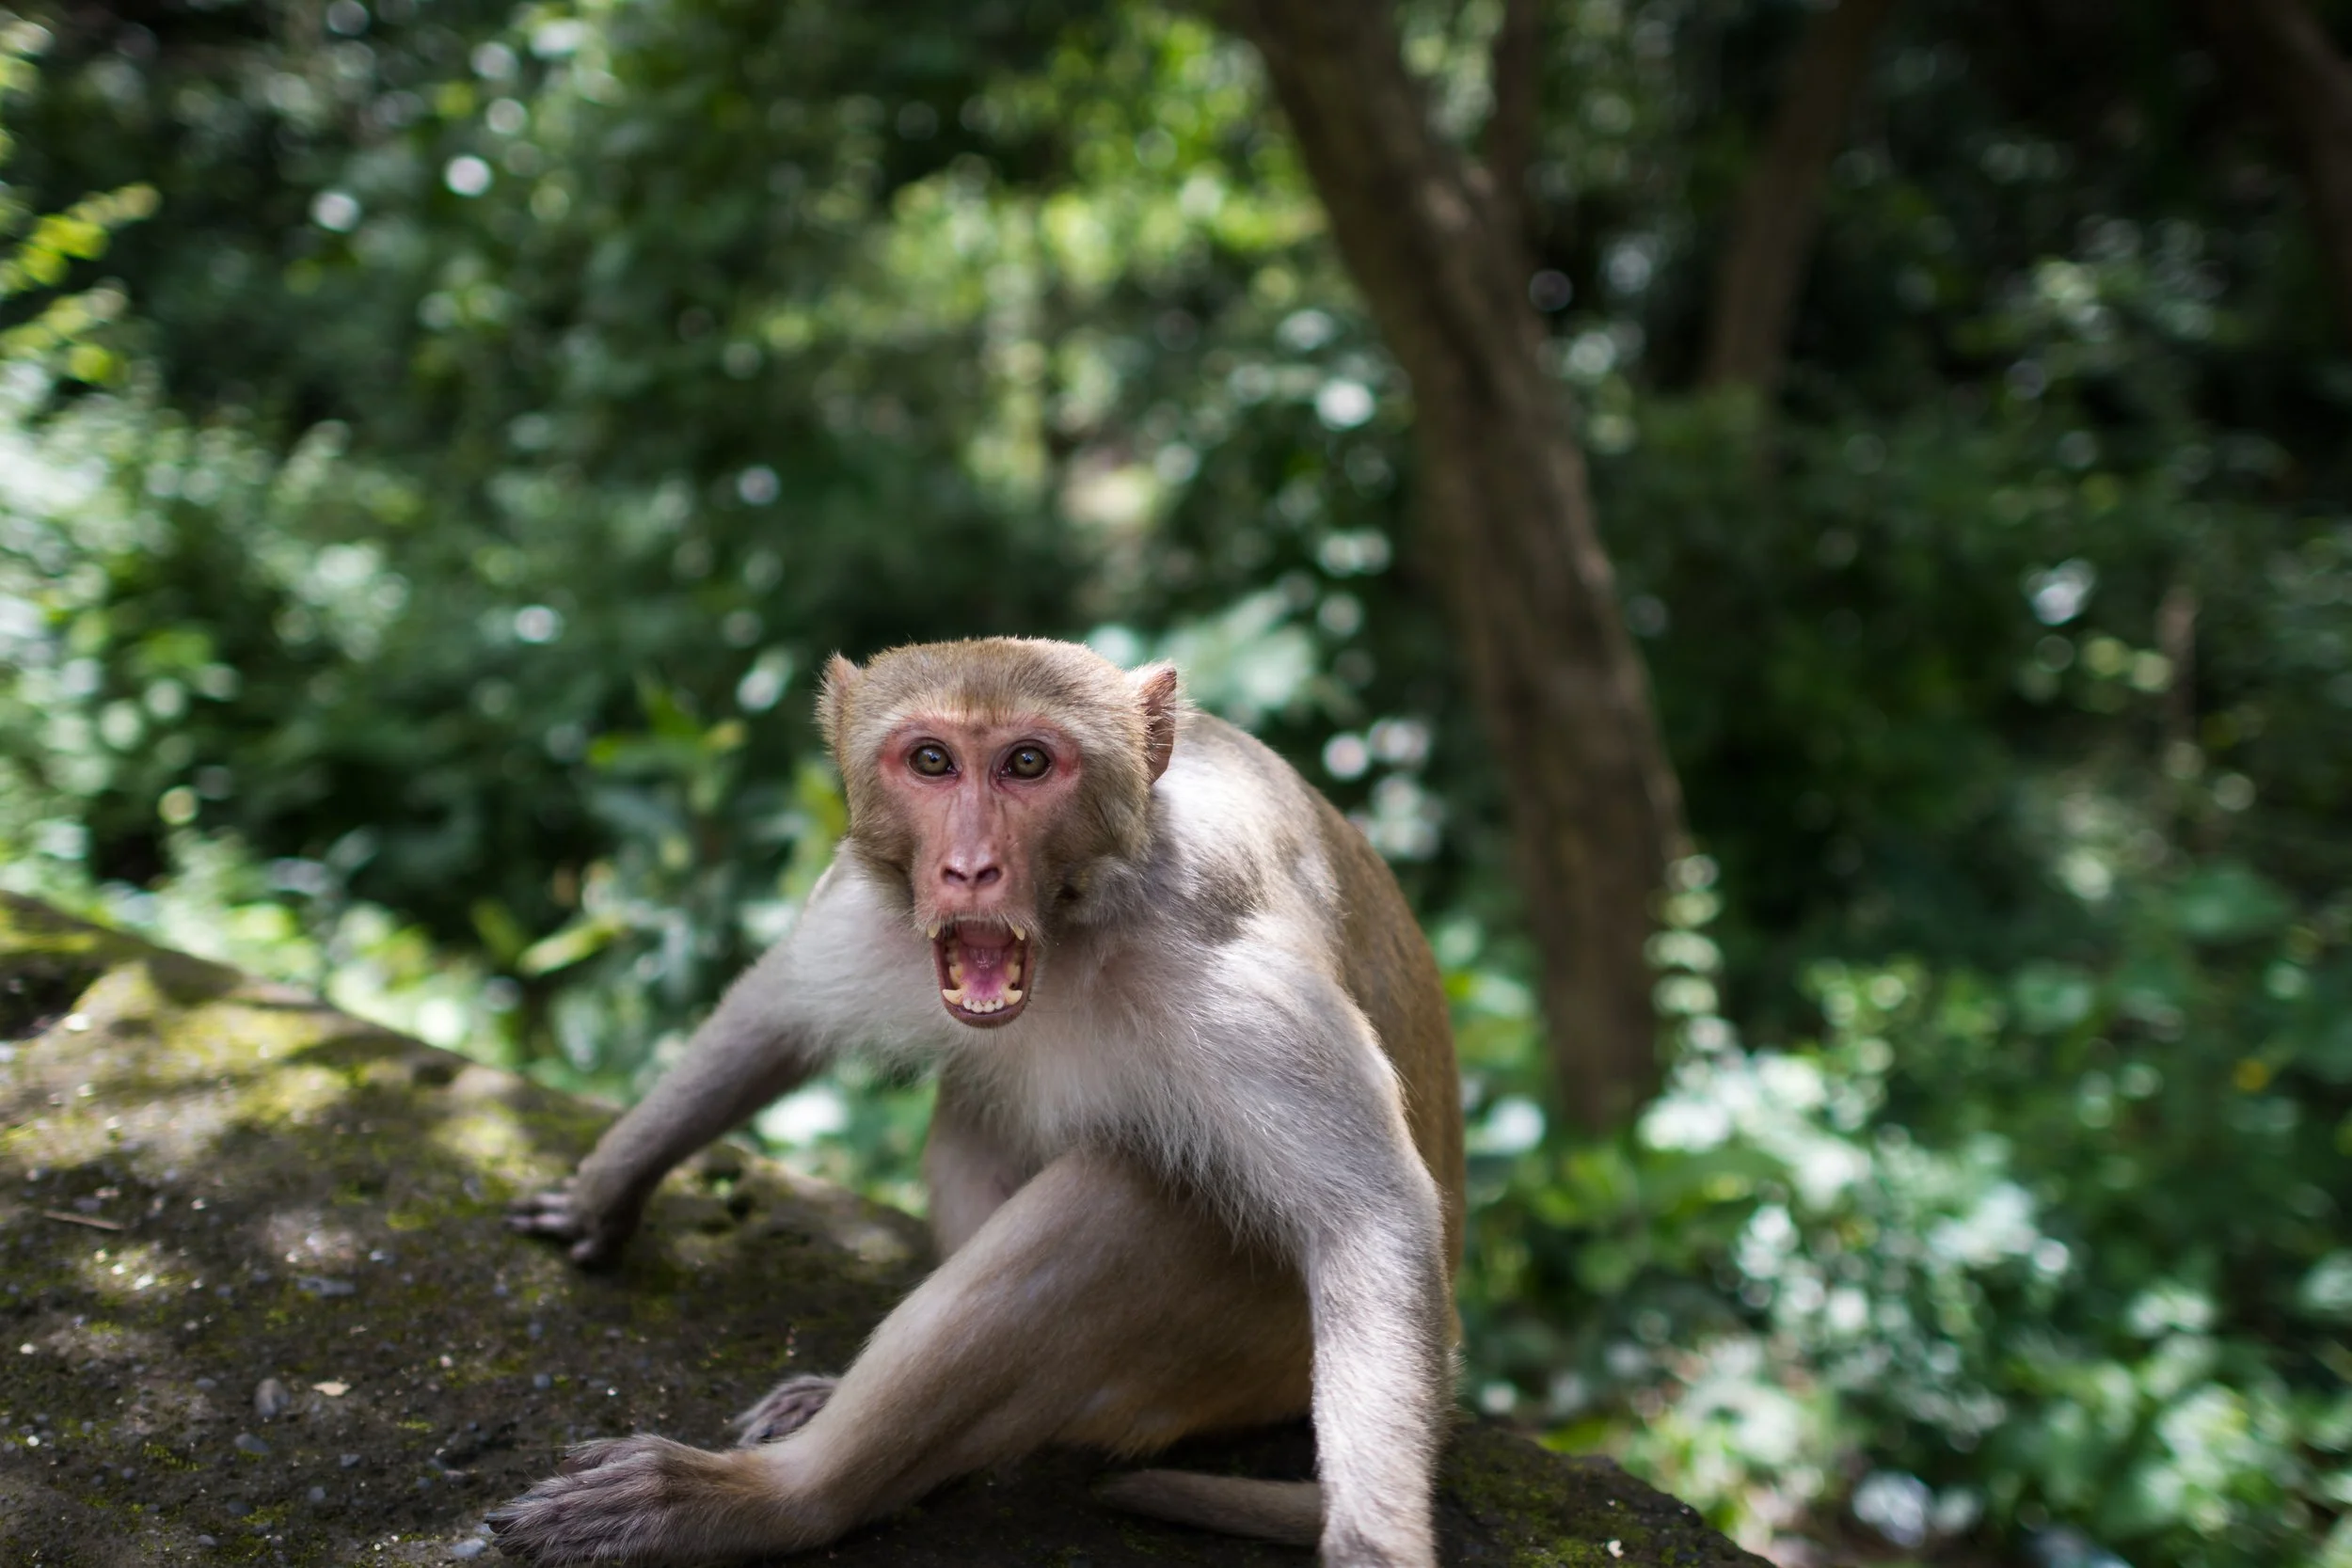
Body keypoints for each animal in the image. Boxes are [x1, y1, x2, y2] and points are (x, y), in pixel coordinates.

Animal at [493, 637, 1466, 1568]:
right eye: (931, 760)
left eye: (1027, 763)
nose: (969, 869)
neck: (1078, 925)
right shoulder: (867, 904)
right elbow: (776, 1014)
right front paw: (604, 1188)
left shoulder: (1226, 959)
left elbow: (1368, 1220)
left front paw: (1372, 1543)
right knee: (978, 1113)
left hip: (1249, 1353)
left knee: (1122, 1197)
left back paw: (777, 1499)